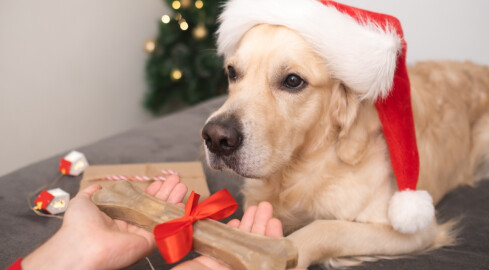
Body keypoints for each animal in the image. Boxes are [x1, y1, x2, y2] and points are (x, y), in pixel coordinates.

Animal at [200, 23, 488, 268]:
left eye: (293, 81)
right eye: (232, 72)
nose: (216, 138)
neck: (301, 168)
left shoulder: (416, 230)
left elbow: (325, 227)